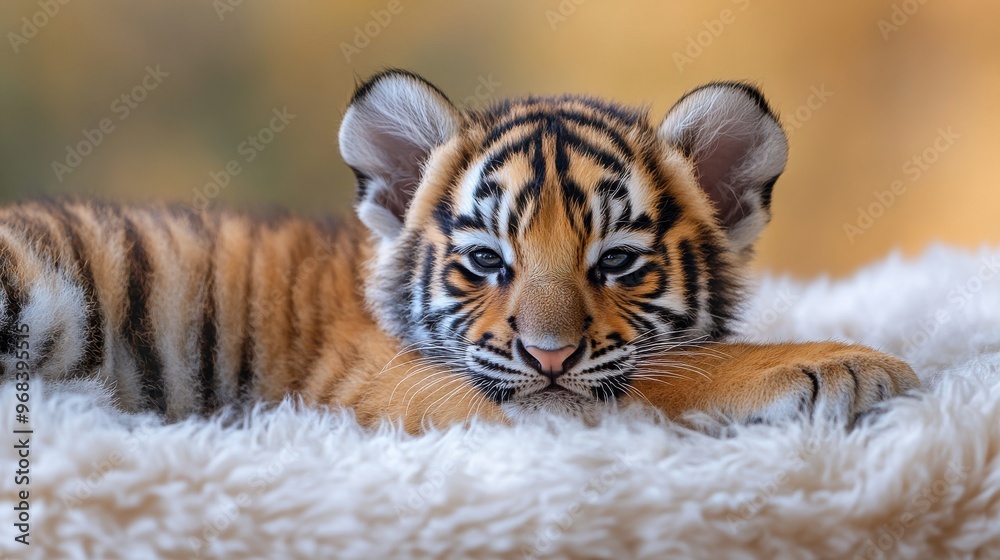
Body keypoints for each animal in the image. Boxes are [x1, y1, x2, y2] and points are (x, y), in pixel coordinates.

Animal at [0, 69, 918, 433]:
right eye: (485, 262)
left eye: (616, 263)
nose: (548, 355)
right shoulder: (393, 388)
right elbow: (658, 380)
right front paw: (841, 363)